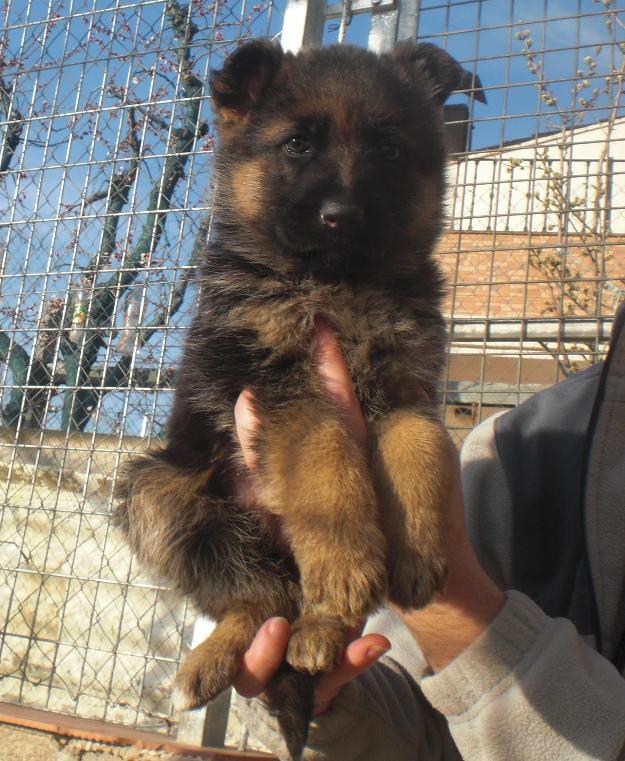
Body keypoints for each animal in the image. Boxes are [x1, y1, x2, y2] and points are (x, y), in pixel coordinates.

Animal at [113, 43, 472, 760]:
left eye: (389, 150)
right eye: (298, 145)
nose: (341, 215)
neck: (336, 281)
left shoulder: (407, 388)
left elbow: (421, 446)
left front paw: (418, 545)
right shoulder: (278, 388)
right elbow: (328, 463)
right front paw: (348, 560)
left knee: (281, 600)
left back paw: (318, 633)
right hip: (158, 489)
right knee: (257, 596)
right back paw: (214, 659)